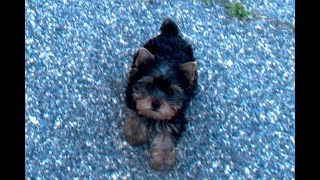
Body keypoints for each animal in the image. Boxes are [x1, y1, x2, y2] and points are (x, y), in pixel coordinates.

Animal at [123, 17, 196, 171]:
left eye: (170, 92)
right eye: (148, 85)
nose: (156, 103)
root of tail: (170, 33)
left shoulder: (177, 115)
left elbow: (167, 134)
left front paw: (162, 160)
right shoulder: (132, 96)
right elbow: (136, 114)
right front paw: (135, 136)